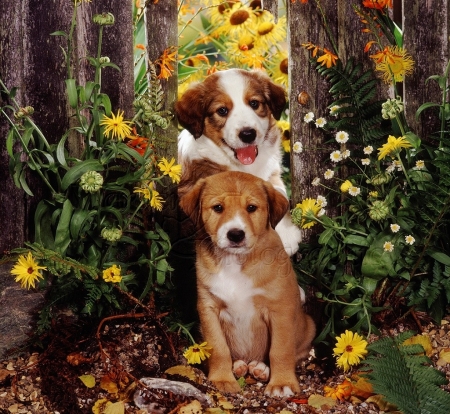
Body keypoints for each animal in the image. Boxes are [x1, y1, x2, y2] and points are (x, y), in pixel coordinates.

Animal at [177, 68, 302, 256]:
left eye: (254, 103)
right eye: (222, 111)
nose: (248, 134)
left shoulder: (271, 172)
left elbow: (279, 193)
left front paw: (287, 234)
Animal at [178, 170, 314, 396]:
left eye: (251, 208)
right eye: (218, 207)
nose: (235, 234)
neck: (235, 262)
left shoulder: (280, 309)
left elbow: (281, 349)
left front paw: (282, 383)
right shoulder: (208, 308)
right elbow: (218, 347)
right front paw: (222, 379)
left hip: (308, 327)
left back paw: (261, 368)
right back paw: (240, 366)